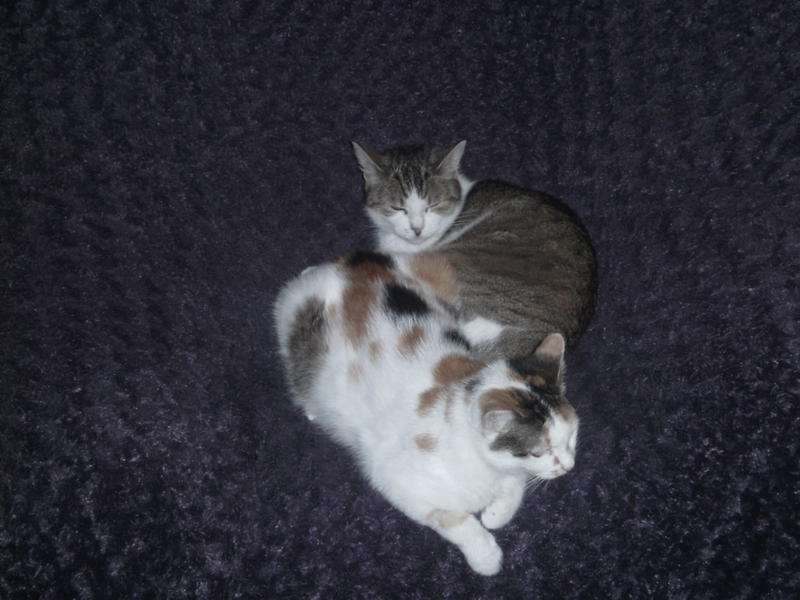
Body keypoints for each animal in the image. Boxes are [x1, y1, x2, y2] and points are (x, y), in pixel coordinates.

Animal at [274, 250, 578, 575]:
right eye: (538, 452)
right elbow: (455, 520)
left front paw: (495, 514)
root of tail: (354, 263)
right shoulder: (395, 480)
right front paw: (486, 556)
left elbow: (515, 487)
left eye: (572, 438)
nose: (568, 467)